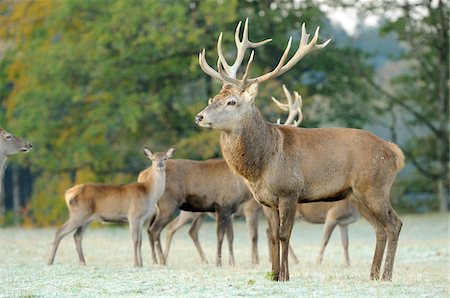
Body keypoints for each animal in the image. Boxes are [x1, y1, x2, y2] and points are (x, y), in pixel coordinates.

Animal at [195, 19, 406, 282]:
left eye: (231, 102)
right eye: (215, 97)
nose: (199, 116)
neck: (262, 164)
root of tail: (395, 153)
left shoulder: (290, 191)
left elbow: (284, 235)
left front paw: (285, 276)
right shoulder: (266, 201)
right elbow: (272, 236)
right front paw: (274, 275)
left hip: (375, 187)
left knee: (394, 224)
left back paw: (386, 275)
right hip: (356, 194)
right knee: (380, 228)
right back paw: (374, 275)